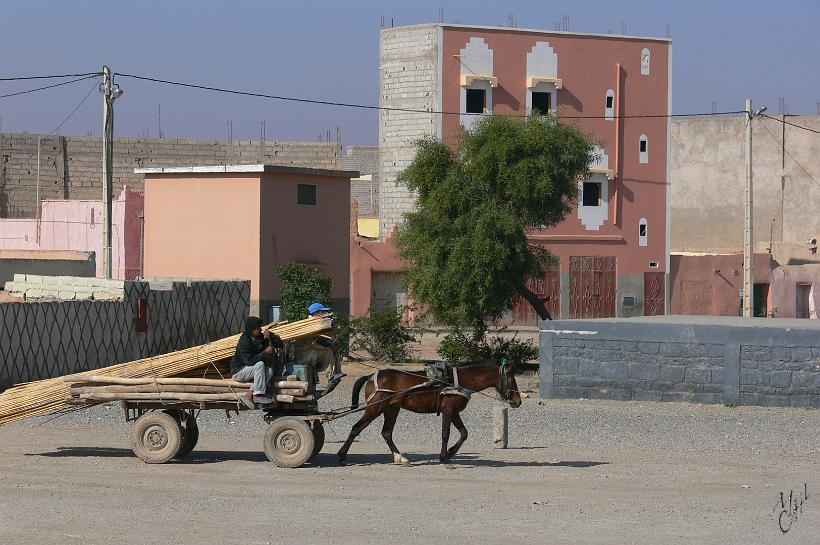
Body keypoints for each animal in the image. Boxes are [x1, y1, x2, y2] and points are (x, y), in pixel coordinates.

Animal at [338, 360, 520, 466]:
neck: (458, 380)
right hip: (374, 408)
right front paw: (445, 457)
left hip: (391, 409)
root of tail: (371, 376)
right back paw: (342, 456)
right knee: (356, 428)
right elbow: (446, 434)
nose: (518, 401)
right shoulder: (448, 411)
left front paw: (450, 452)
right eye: (512, 379)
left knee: (386, 433)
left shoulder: (454, 412)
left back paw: (400, 457)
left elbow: (464, 433)